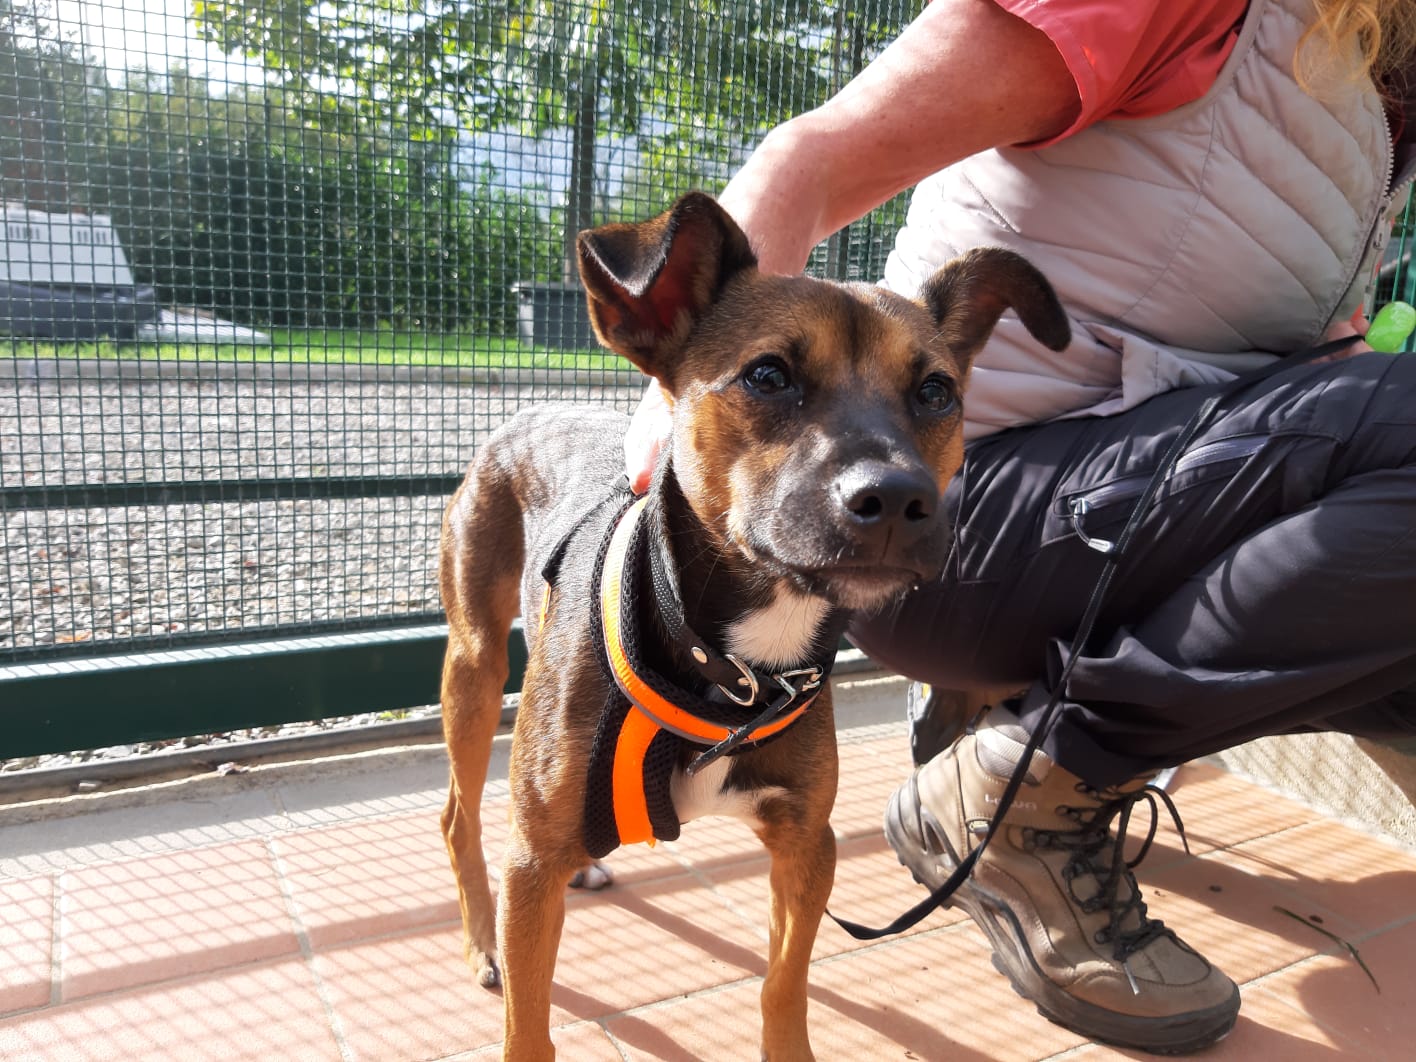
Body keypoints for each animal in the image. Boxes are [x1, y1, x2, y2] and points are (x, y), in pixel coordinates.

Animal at [437, 192, 1069, 1060]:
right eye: (768, 375)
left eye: (936, 392)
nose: (897, 499)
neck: (727, 666)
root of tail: (528, 410)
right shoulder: (530, 871)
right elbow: (529, 1031)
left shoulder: (806, 844)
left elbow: (783, 987)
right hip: (474, 666)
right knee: (458, 818)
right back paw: (481, 943)